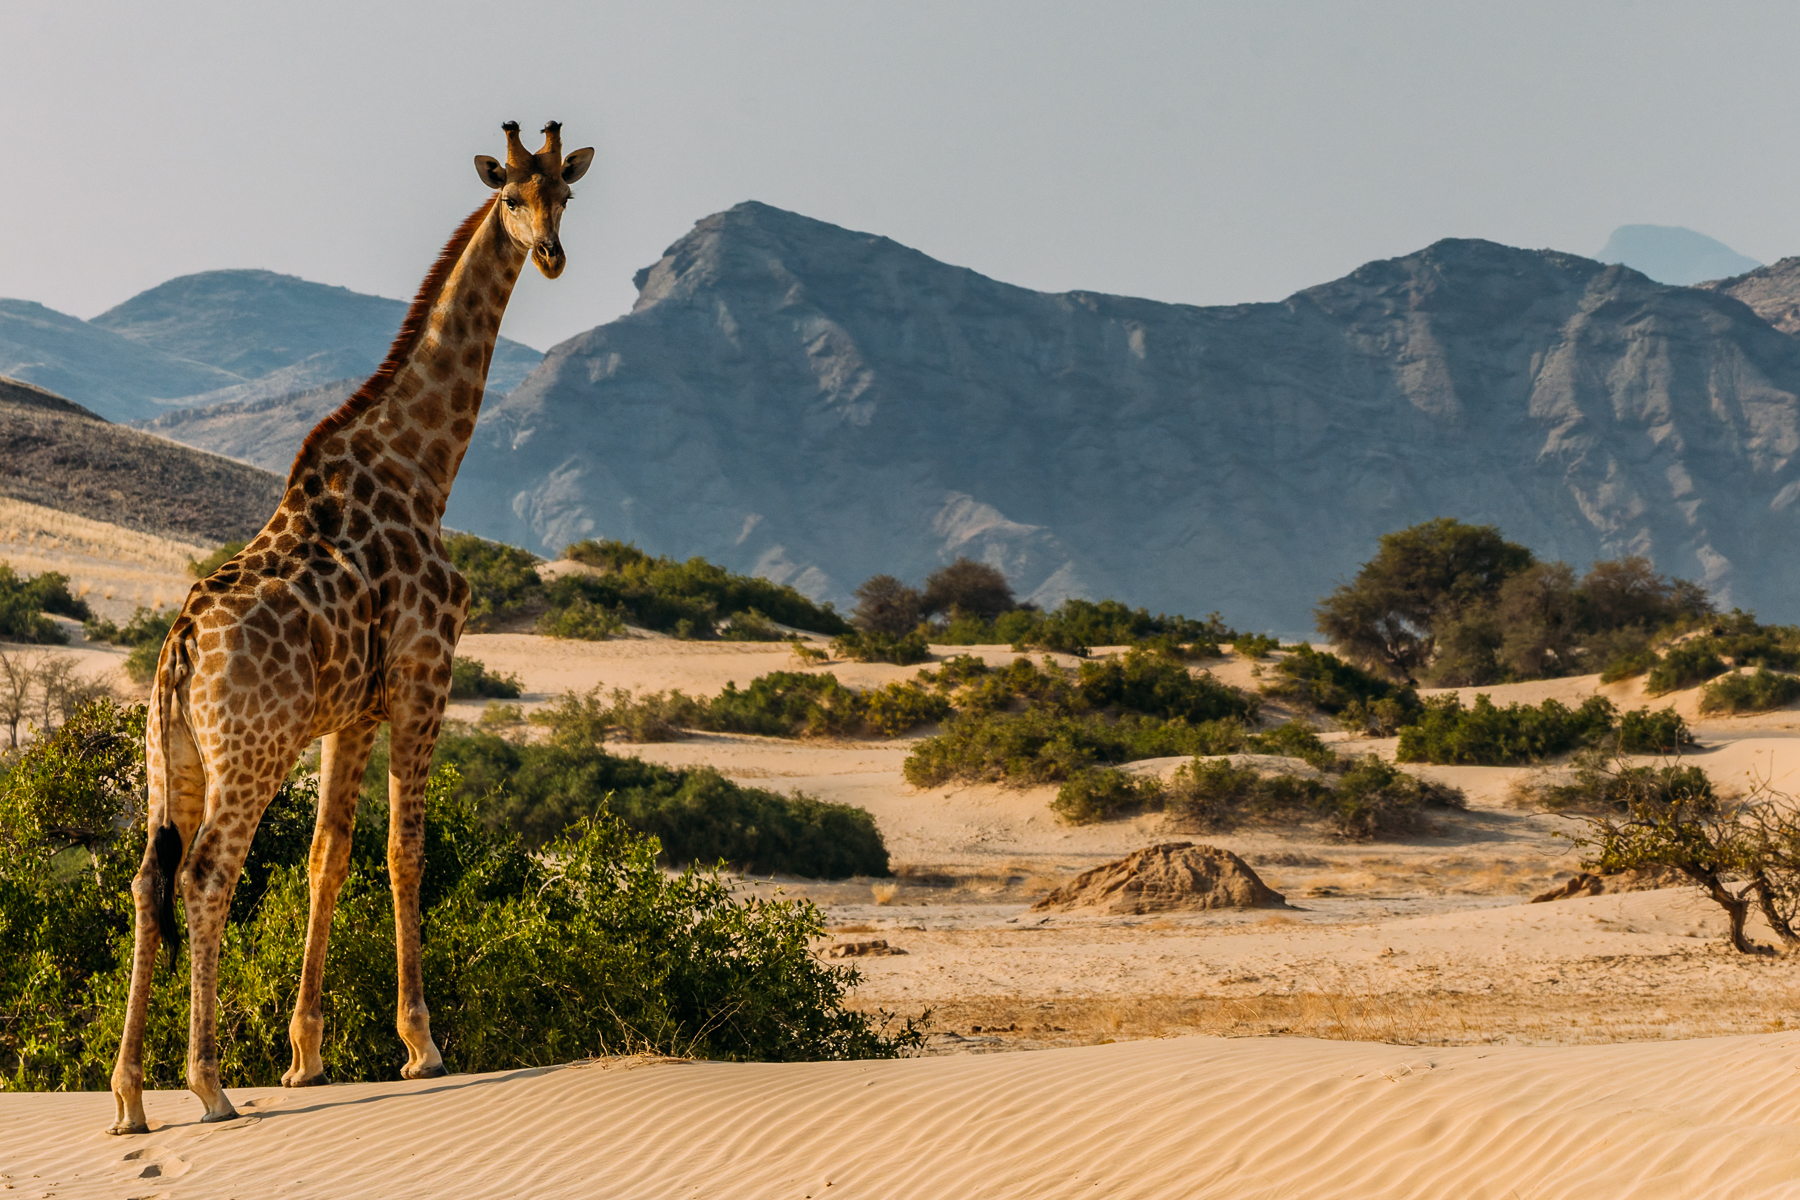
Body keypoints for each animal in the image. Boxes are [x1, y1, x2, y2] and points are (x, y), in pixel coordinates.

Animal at [108, 121, 594, 1135]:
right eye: (511, 197)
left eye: (565, 193)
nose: (552, 254)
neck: (423, 468)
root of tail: (176, 653)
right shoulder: (423, 674)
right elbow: (404, 851)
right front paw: (422, 1046)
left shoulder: (352, 712)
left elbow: (327, 856)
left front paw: (305, 1058)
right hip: (249, 751)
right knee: (205, 878)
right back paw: (208, 1085)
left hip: (171, 756)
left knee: (144, 881)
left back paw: (130, 1097)